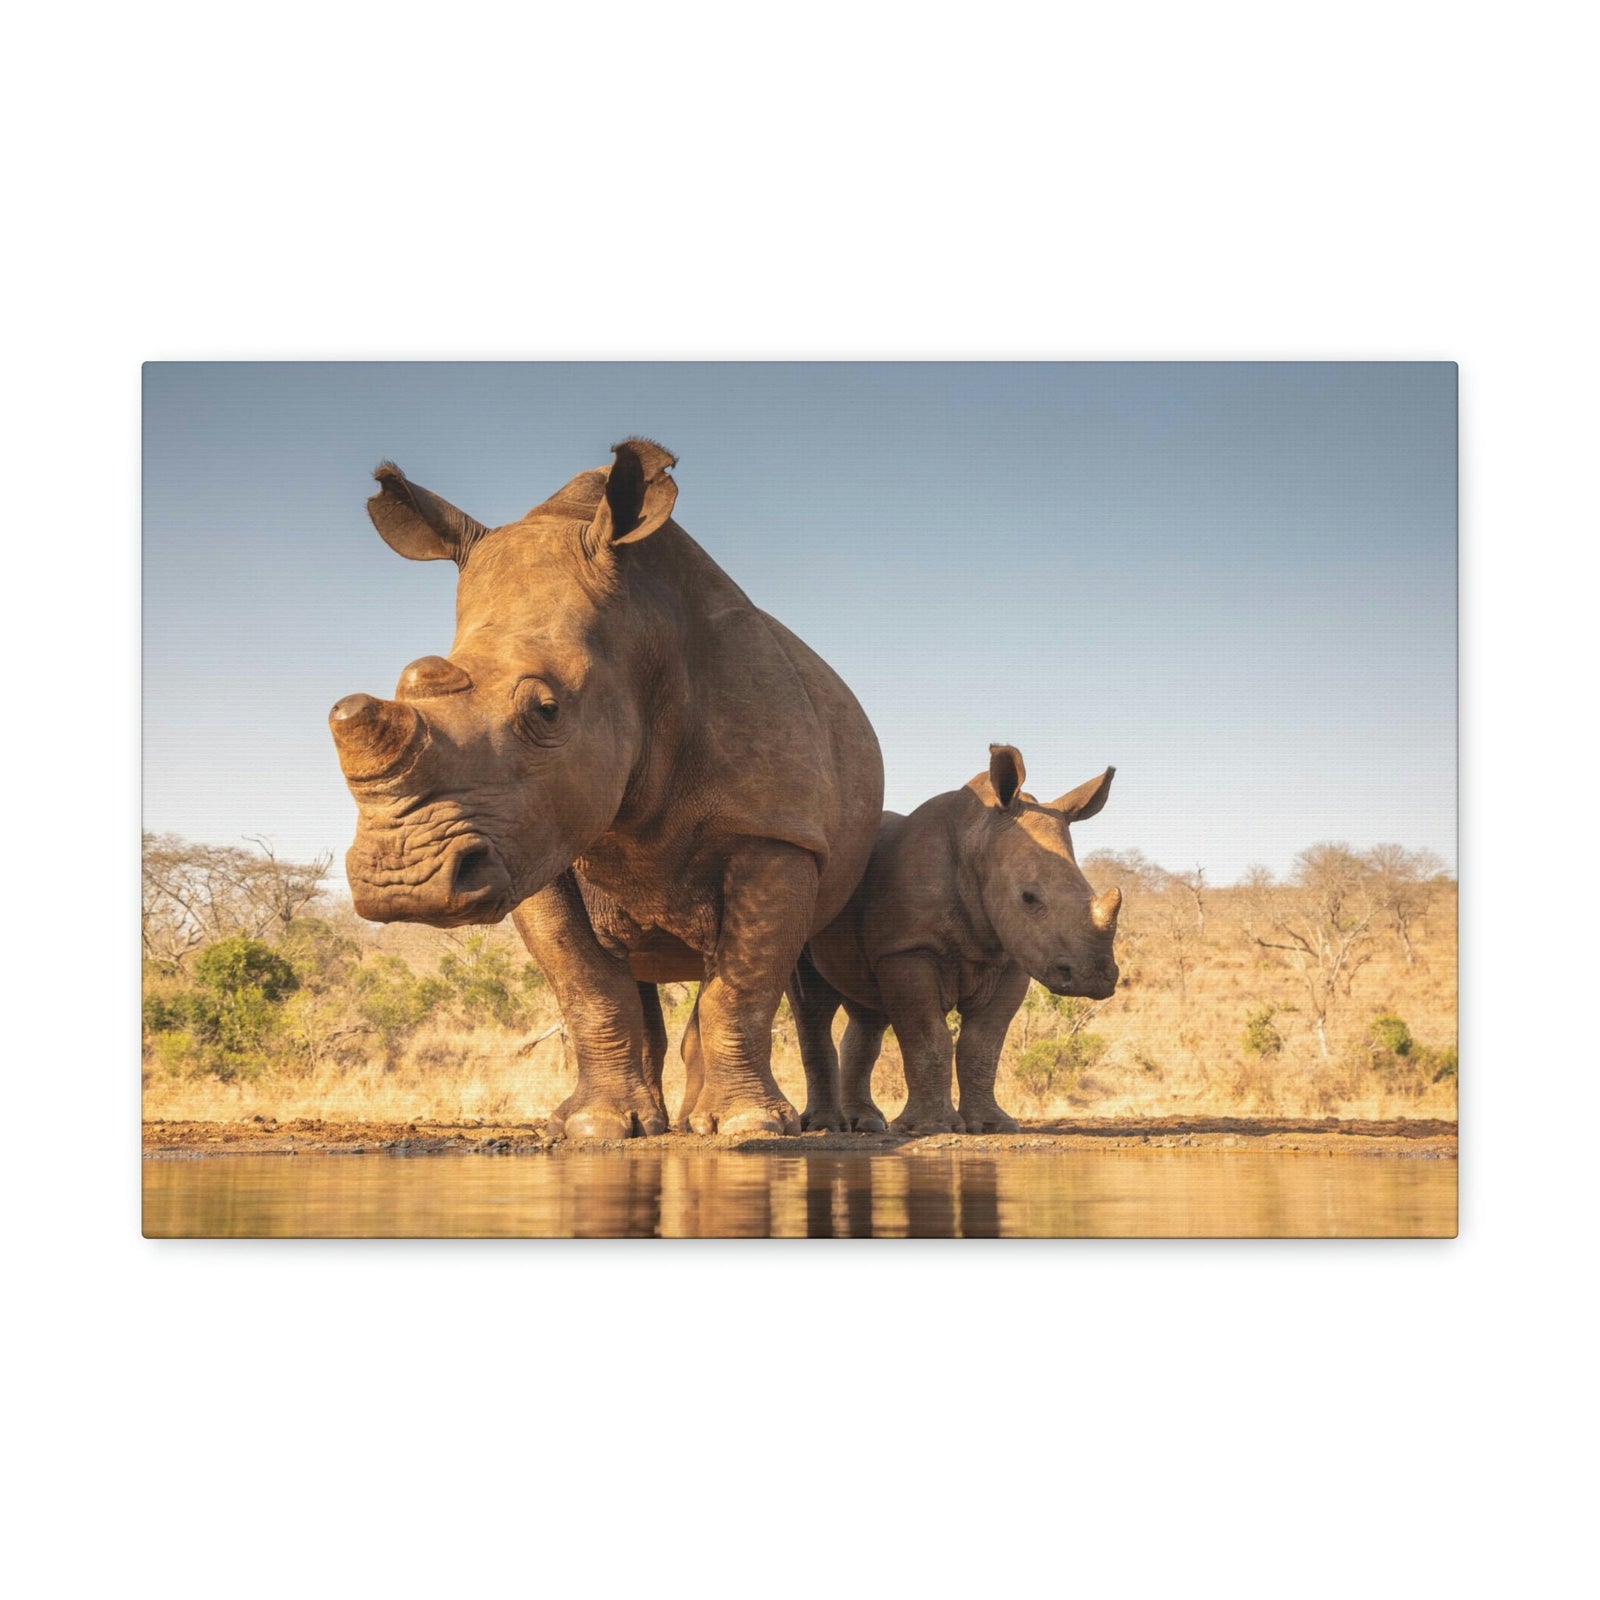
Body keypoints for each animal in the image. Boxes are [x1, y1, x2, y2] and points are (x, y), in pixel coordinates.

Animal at [329, 439, 884, 1138]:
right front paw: (595, 1127)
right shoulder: (529, 841)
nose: (403, 882)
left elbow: (743, 986)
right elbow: (587, 986)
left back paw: (768, 1125)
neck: (640, 633)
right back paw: (661, 1123)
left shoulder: (776, 832)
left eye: (546, 710)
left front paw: (747, 1128)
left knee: (793, 983)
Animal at [788, 744, 1120, 1134]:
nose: (1095, 978)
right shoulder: (908, 948)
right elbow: (928, 1037)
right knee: (812, 1005)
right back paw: (825, 1126)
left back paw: (866, 1123)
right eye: (1028, 898)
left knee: (866, 1010)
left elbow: (983, 1044)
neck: (977, 837)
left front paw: (992, 1126)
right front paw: (929, 1128)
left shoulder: (1010, 958)